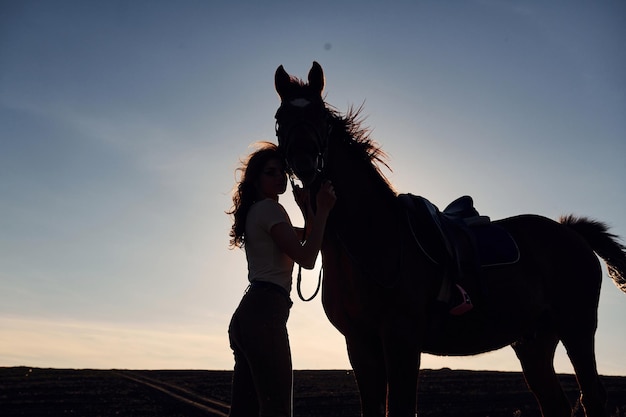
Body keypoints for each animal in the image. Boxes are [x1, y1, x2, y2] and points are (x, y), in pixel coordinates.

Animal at [272, 61, 624, 416]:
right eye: (279, 119)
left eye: (321, 117)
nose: (304, 161)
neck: (374, 239)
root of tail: (570, 232)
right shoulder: (359, 344)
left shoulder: (401, 338)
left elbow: (400, 407)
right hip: (534, 341)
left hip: (577, 327)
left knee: (593, 396)